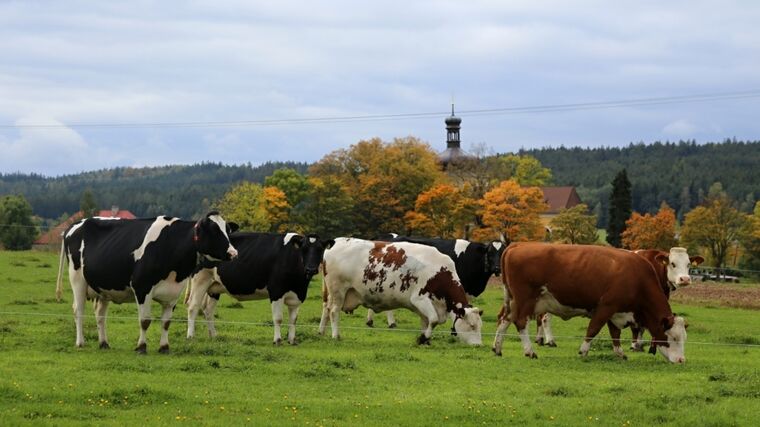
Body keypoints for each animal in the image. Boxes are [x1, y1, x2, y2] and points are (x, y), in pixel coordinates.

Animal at [56, 211, 238, 354]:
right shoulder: (142, 288)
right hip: (77, 280)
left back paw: (104, 343)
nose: (233, 253)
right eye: (214, 231)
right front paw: (141, 347)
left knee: (100, 314)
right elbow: (145, 321)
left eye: (227, 230)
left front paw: (164, 347)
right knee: (78, 310)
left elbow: (166, 323)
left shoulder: (173, 294)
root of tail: (75, 224)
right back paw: (80, 342)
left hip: (103, 288)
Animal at [186, 232, 334, 346]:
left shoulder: (298, 295)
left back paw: (213, 335)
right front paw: (277, 340)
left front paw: (292, 340)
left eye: (320, 249)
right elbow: (278, 318)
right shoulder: (276, 291)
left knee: (208, 310)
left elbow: (293, 320)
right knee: (193, 307)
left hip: (214, 287)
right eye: (304, 249)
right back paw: (190, 336)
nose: (311, 269)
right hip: (200, 280)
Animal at [318, 239, 484, 346]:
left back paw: (321, 332)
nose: (478, 345)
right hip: (338, 290)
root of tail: (337, 241)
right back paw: (335, 335)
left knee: (326, 309)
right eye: (471, 326)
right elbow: (434, 320)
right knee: (333, 311)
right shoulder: (420, 299)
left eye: (480, 326)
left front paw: (425, 339)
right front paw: (423, 339)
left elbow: (426, 322)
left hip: (330, 292)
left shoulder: (424, 306)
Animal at [492, 244, 688, 364]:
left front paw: (620, 353)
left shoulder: (616, 312)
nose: (681, 360)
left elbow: (615, 335)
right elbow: (593, 329)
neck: (638, 278)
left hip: (512, 301)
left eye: (684, 338)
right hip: (525, 299)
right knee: (520, 322)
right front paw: (583, 351)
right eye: (673, 338)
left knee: (504, 319)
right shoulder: (606, 306)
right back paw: (529, 351)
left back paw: (497, 348)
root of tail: (518, 245)